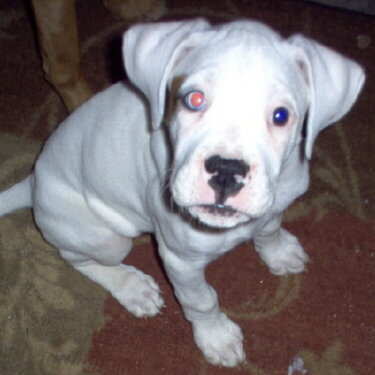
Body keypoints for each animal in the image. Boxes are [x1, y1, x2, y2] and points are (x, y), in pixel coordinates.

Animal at [0, 19, 364, 368]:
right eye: (194, 99)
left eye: (281, 115)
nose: (226, 171)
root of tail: (34, 181)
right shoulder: (181, 260)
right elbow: (201, 300)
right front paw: (217, 337)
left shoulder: (273, 205)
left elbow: (269, 227)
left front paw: (278, 251)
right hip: (106, 239)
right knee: (75, 257)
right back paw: (132, 287)